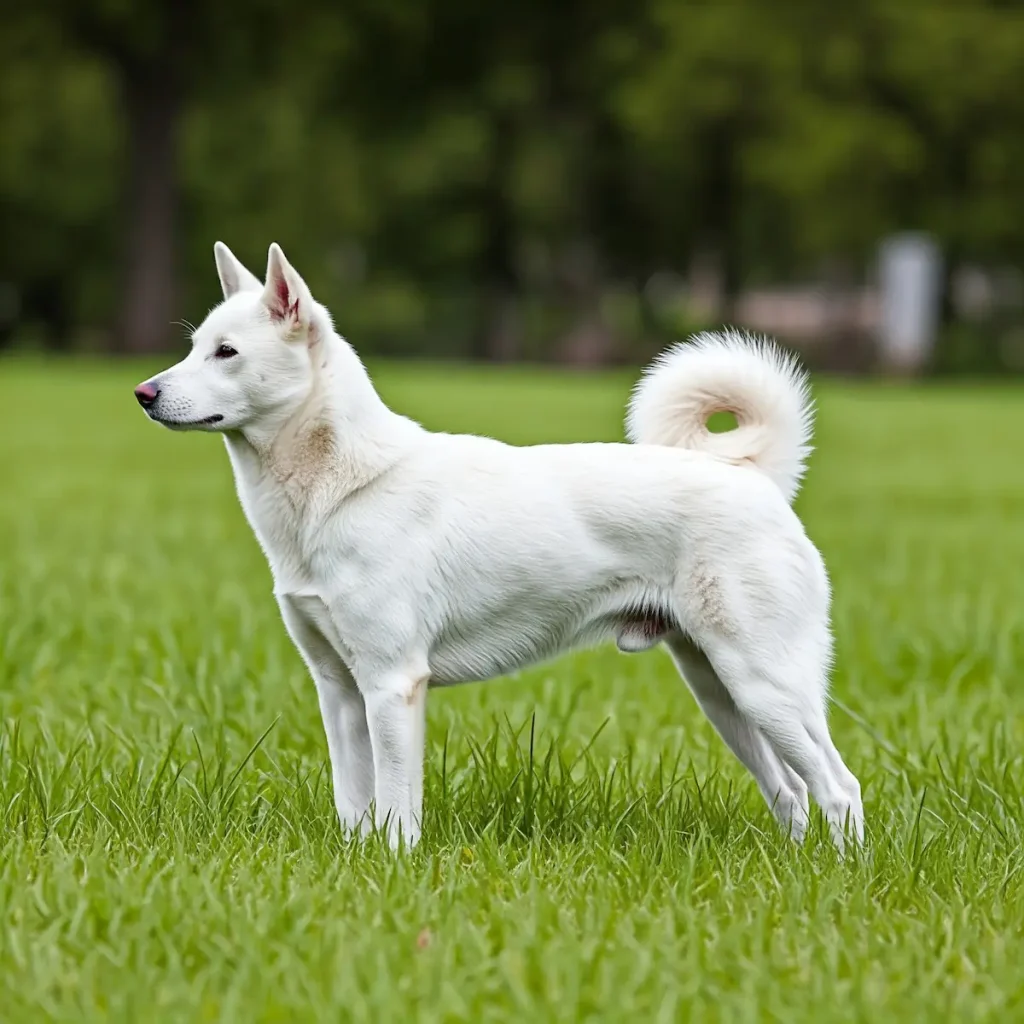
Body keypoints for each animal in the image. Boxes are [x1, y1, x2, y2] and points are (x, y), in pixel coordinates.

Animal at [134, 239, 864, 847]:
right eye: (195, 345)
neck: (338, 490)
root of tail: (752, 476)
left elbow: (396, 808)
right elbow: (355, 806)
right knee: (792, 793)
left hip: (766, 685)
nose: (143, 393)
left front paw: (394, 872)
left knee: (839, 787)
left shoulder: (393, 684)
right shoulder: (338, 690)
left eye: (227, 353)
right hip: (719, 690)